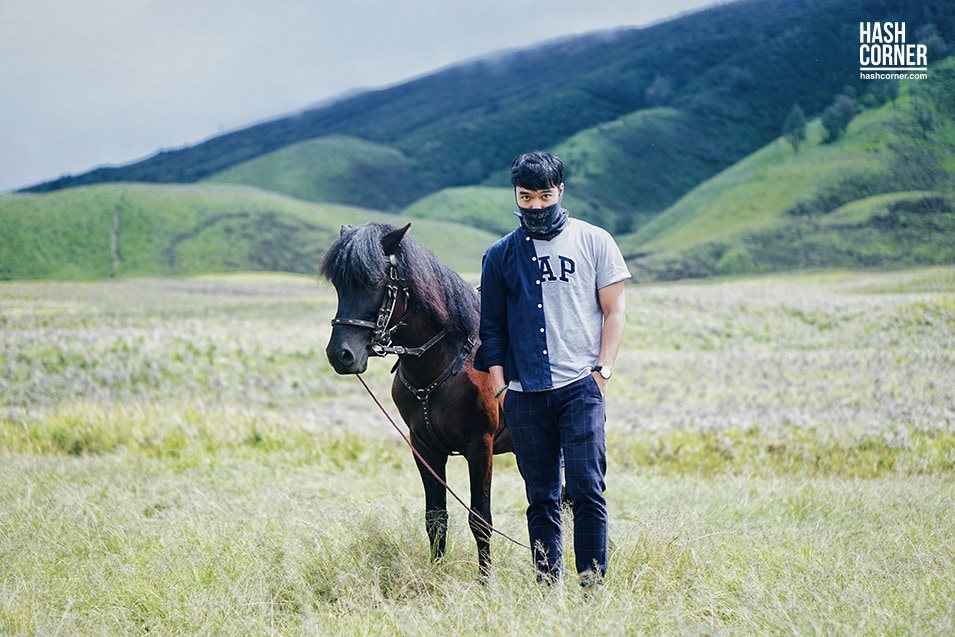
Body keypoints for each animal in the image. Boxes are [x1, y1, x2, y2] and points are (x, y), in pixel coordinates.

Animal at [320, 221, 516, 572]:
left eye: (373, 282)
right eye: (339, 285)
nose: (340, 355)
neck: (444, 361)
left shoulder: (480, 445)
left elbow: (480, 519)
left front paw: (485, 579)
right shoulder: (424, 447)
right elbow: (435, 518)